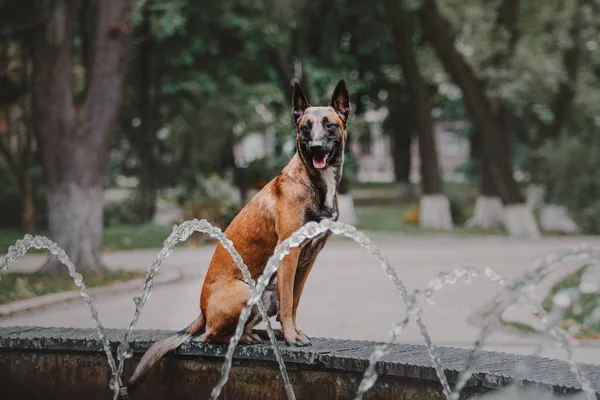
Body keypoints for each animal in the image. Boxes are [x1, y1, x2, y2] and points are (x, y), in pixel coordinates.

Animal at [125, 80, 352, 394]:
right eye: (305, 128)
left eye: (329, 125)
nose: (317, 147)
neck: (315, 183)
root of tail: (202, 311)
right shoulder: (290, 255)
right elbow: (288, 304)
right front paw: (292, 336)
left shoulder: (307, 261)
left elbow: (294, 301)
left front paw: (291, 331)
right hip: (247, 292)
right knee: (211, 335)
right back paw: (248, 337)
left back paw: (261, 333)